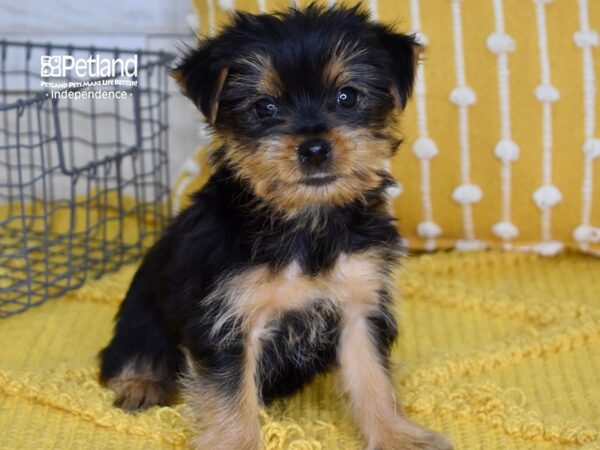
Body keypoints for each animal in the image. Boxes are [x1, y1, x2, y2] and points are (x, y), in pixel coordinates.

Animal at [101, 4, 452, 450]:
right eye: (264, 107)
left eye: (347, 96)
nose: (314, 148)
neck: (305, 221)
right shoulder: (229, 322)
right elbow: (232, 401)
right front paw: (237, 442)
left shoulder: (359, 305)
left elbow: (374, 379)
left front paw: (395, 435)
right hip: (140, 313)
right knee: (128, 353)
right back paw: (140, 384)